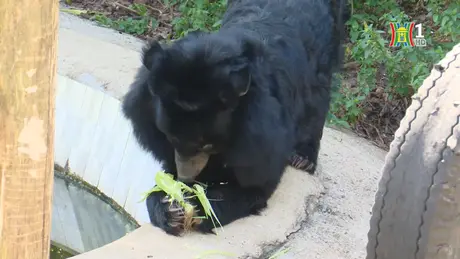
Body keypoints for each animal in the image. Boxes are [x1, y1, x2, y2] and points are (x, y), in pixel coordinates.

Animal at [122, 0, 348, 237]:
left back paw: (303, 158)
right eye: (169, 137)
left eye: (207, 145)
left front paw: (198, 204)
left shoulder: (262, 139)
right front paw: (168, 207)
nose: (186, 178)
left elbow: (255, 184)